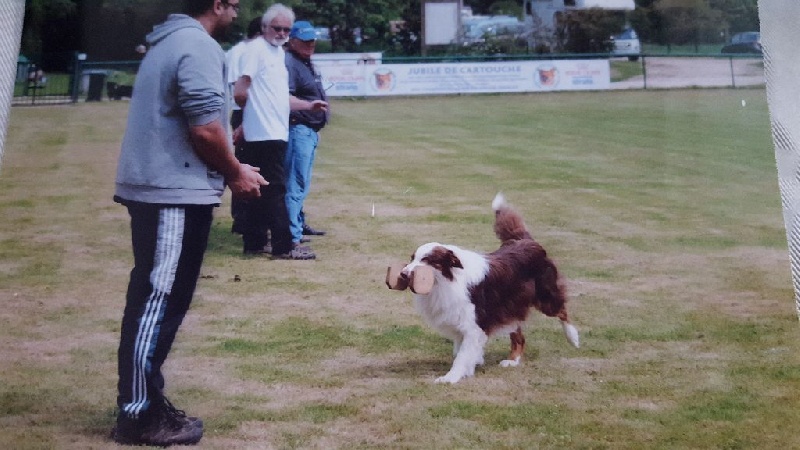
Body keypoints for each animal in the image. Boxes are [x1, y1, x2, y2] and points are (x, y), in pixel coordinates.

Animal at [400, 193, 580, 384]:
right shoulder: (461, 320)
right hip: (511, 307)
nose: (403, 274)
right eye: (412, 258)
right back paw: (512, 360)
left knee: (562, 311)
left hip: (544, 296)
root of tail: (526, 240)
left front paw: (450, 377)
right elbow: (461, 350)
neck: (447, 280)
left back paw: (573, 338)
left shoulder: (474, 322)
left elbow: (461, 355)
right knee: (520, 337)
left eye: (427, 260)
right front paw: (474, 362)